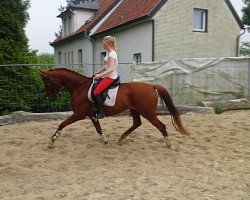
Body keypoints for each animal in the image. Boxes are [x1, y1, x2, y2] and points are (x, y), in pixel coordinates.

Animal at [39, 68, 188, 148]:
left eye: (48, 82)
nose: (52, 97)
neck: (79, 87)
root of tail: (152, 86)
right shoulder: (91, 115)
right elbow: (98, 128)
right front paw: (105, 139)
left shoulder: (78, 114)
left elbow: (62, 124)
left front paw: (52, 140)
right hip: (135, 110)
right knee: (137, 123)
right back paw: (121, 138)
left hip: (147, 112)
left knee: (161, 125)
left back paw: (168, 143)